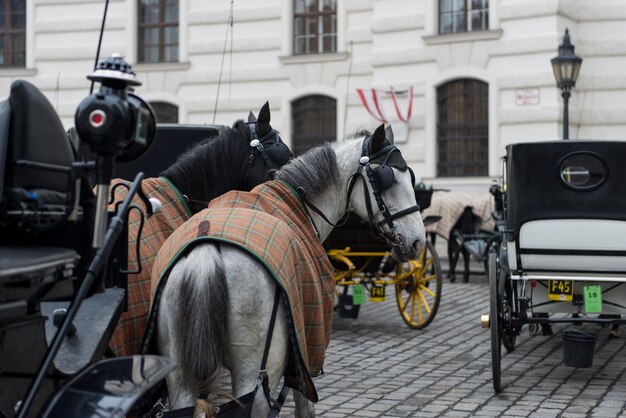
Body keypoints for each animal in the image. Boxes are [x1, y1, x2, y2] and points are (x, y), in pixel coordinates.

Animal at [154, 125, 424, 418]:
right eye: (388, 181)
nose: (418, 242)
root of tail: (207, 253)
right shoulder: (304, 351)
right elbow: (304, 406)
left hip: (180, 375)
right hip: (257, 374)